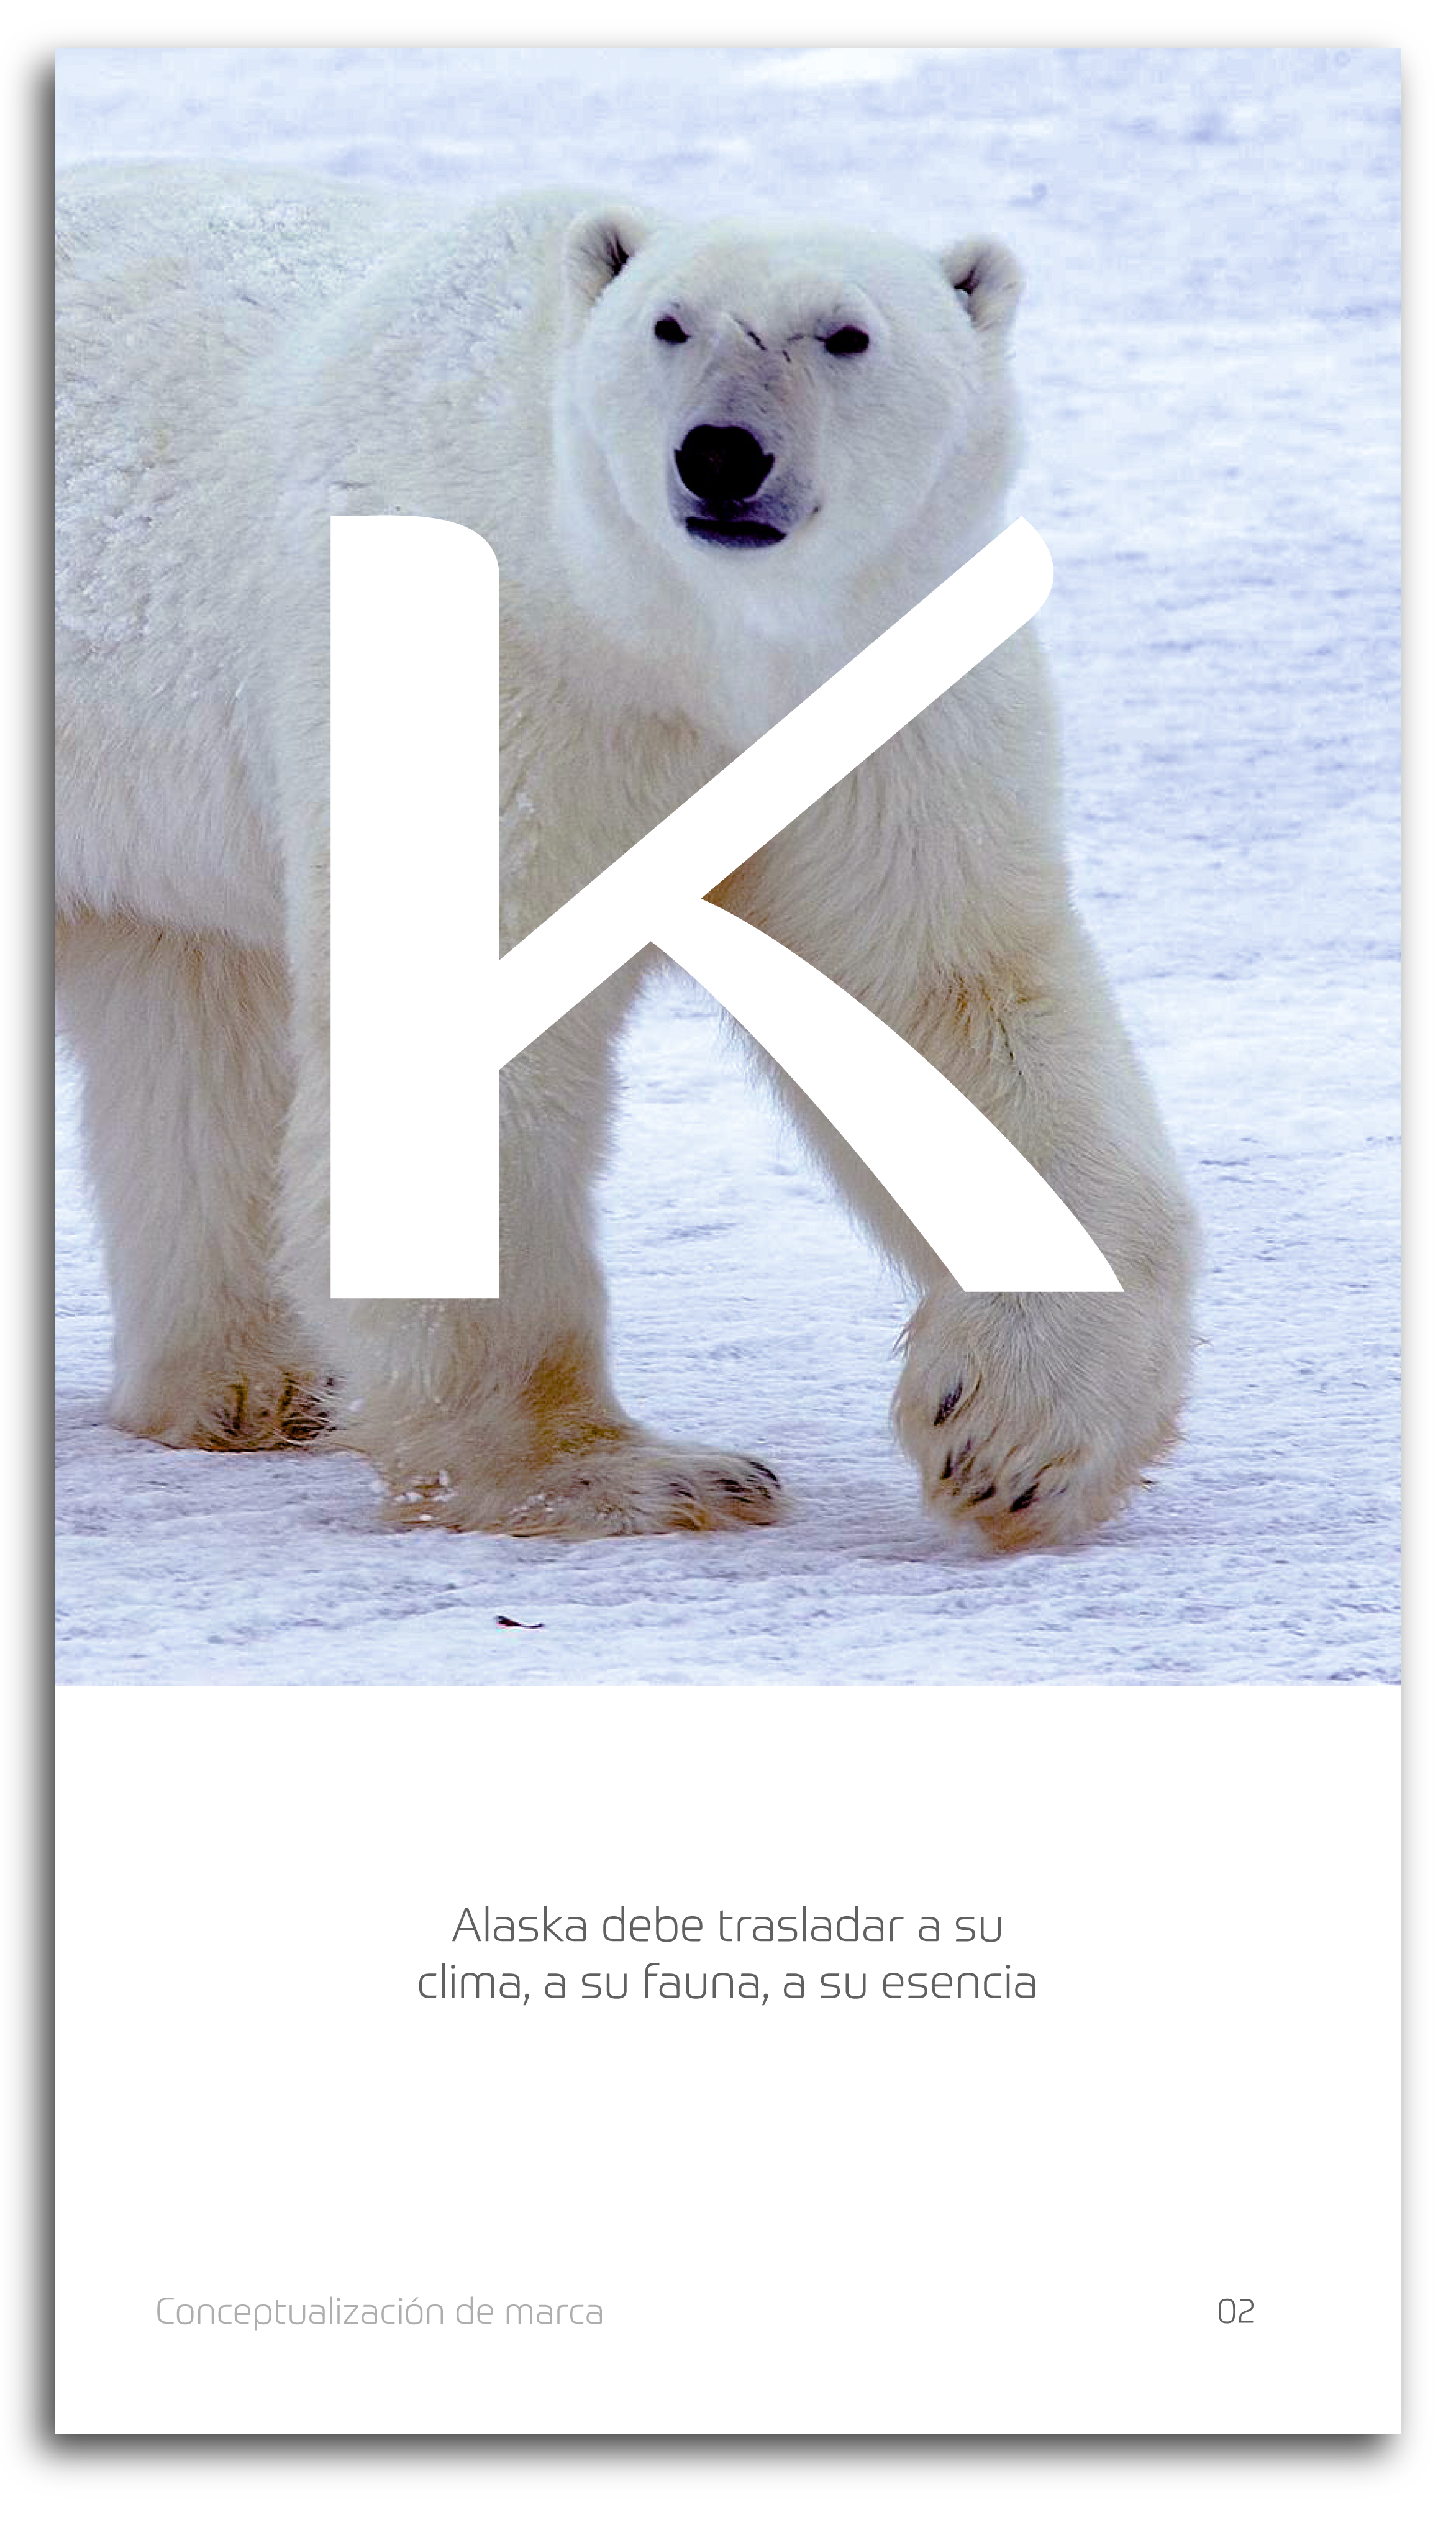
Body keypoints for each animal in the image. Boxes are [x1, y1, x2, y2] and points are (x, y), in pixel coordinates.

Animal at [55, 161, 1197, 1551]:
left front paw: (1010, 1436)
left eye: (845, 333)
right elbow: (481, 1018)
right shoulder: (510, 682)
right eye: (669, 323)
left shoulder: (873, 690)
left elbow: (947, 989)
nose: (720, 452)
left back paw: (246, 1384)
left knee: (185, 1011)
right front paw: (621, 1471)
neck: (671, 635)